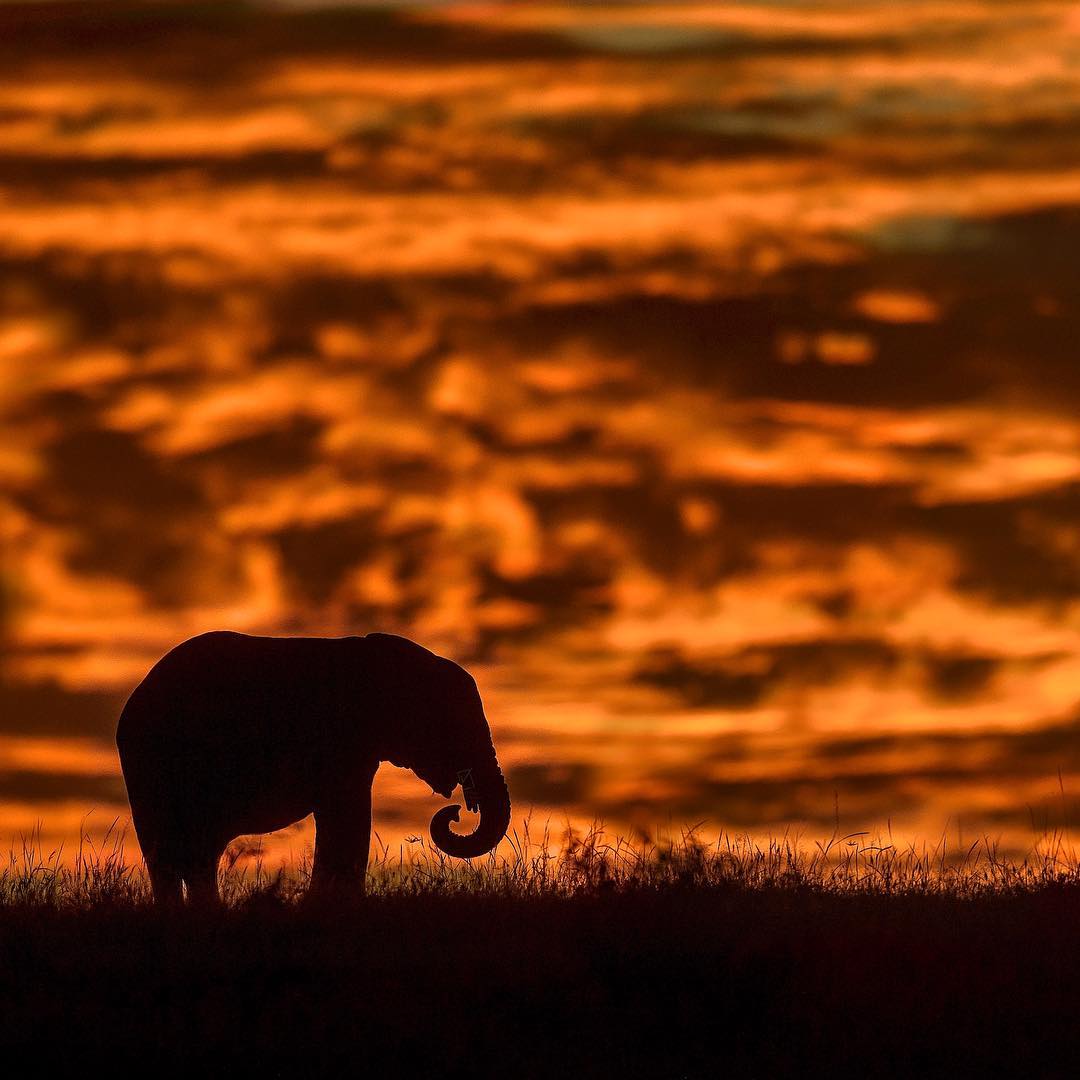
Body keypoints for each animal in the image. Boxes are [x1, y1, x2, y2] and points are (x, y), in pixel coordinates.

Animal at [116, 630, 511, 907]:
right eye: (455, 725)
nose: (456, 811)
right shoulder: (341, 741)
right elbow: (348, 812)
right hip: (154, 764)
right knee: (179, 852)